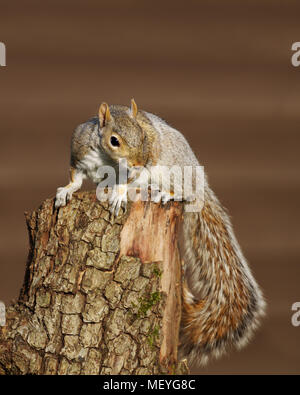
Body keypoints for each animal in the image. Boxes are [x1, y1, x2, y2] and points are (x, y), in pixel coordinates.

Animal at [55, 100, 264, 368]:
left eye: (144, 136)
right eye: (114, 140)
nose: (138, 162)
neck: (107, 160)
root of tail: (200, 182)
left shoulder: (142, 166)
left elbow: (128, 181)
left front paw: (119, 193)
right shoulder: (80, 153)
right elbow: (76, 179)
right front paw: (66, 191)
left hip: (174, 172)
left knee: (185, 193)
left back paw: (166, 193)